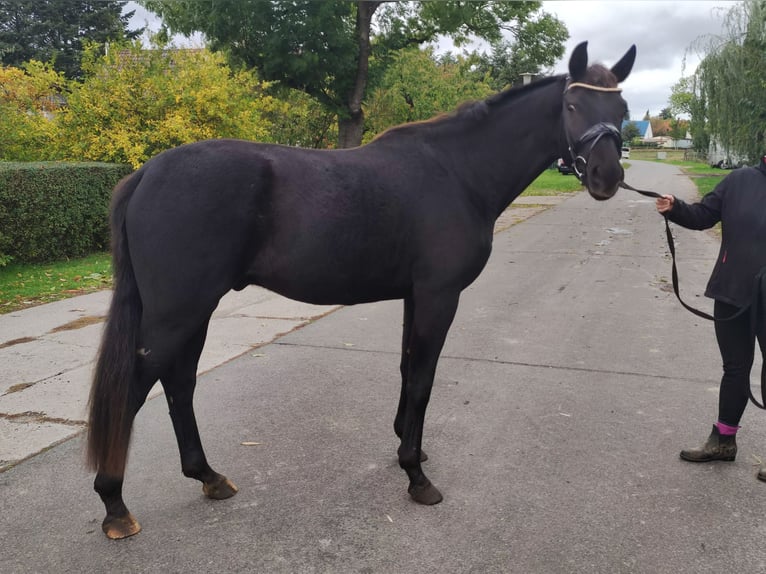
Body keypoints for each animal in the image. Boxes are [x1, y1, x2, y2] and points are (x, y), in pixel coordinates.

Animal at [87, 41, 640, 540]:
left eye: (622, 111)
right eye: (572, 106)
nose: (606, 177)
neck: (458, 172)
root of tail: (146, 173)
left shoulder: (416, 296)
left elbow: (407, 370)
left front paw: (408, 447)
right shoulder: (439, 296)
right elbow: (423, 379)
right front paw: (417, 476)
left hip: (192, 314)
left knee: (179, 385)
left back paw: (208, 476)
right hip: (178, 313)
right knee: (136, 389)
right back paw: (115, 505)